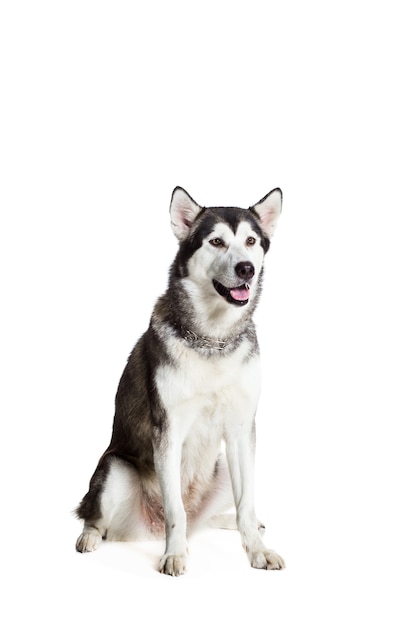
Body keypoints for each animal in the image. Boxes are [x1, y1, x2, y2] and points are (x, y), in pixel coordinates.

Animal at [75, 185, 284, 576]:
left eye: (250, 241)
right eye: (216, 241)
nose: (246, 269)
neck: (213, 340)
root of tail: (149, 529)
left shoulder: (241, 430)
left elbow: (246, 503)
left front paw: (258, 550)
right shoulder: (168, 430)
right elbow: (176, 510)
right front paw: (174, 554)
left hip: (221, 469)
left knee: (210, 517)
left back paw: (228, 521)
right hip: (114, 470)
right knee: (96, 517)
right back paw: (89, 537)